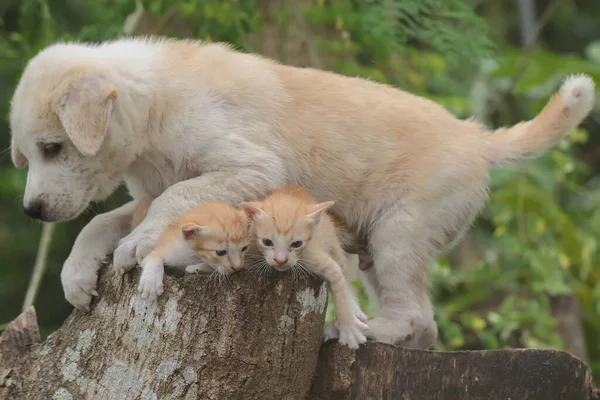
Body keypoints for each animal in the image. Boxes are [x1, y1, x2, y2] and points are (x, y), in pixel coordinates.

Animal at [241, 186, 368, 348]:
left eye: (297, 244)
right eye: (267, 242)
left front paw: (349, 328)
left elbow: (340, 288)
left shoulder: (316, 256)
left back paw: (354, 309)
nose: (281, 260)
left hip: (332, 243)